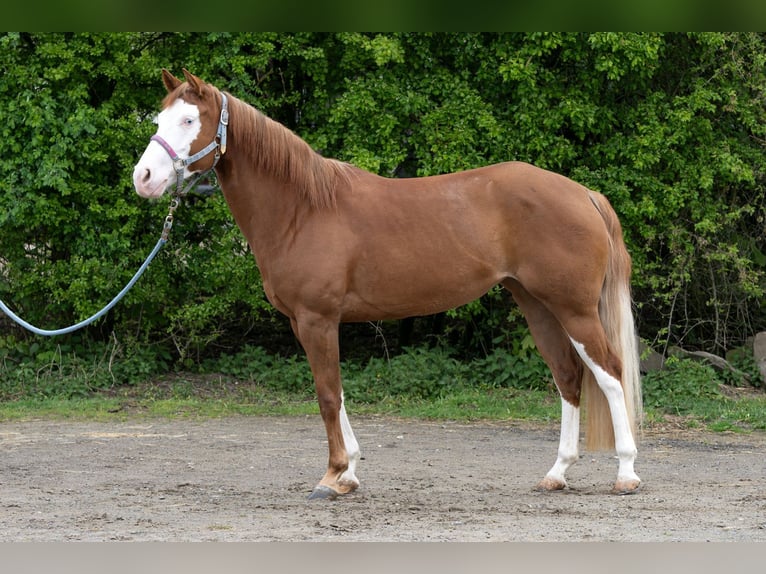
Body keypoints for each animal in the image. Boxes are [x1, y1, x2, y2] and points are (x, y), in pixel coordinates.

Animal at [133, 69, 642, 499]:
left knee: (610, 373)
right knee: (568, 376)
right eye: (159, 119)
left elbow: (327, 394)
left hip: (574, 309)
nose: (144, 178)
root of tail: (583, 194)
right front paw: (350, 472)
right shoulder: (307, 323)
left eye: (188, 119)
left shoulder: (317, 319)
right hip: (538, 305)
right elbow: (337, 393)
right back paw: (557, 473)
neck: (303, 209)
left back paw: (626, 473)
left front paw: (332, 476)